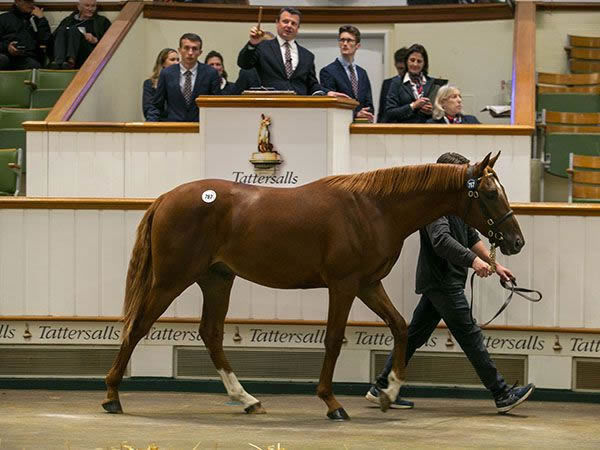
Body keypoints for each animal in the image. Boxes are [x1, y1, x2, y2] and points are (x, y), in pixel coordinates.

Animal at [103, 153, 524, 420]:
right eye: (490, 193)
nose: (516, 241)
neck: (374, 208)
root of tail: (165, 199)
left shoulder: (368, 285)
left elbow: (401, 327)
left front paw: (389, 394)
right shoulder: (343, 285)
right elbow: (334, 339)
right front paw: (332, 403)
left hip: (217, 278)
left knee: (211, 333)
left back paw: (247, 399)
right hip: (172, 279)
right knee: (137, 327)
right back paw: (111, 396)